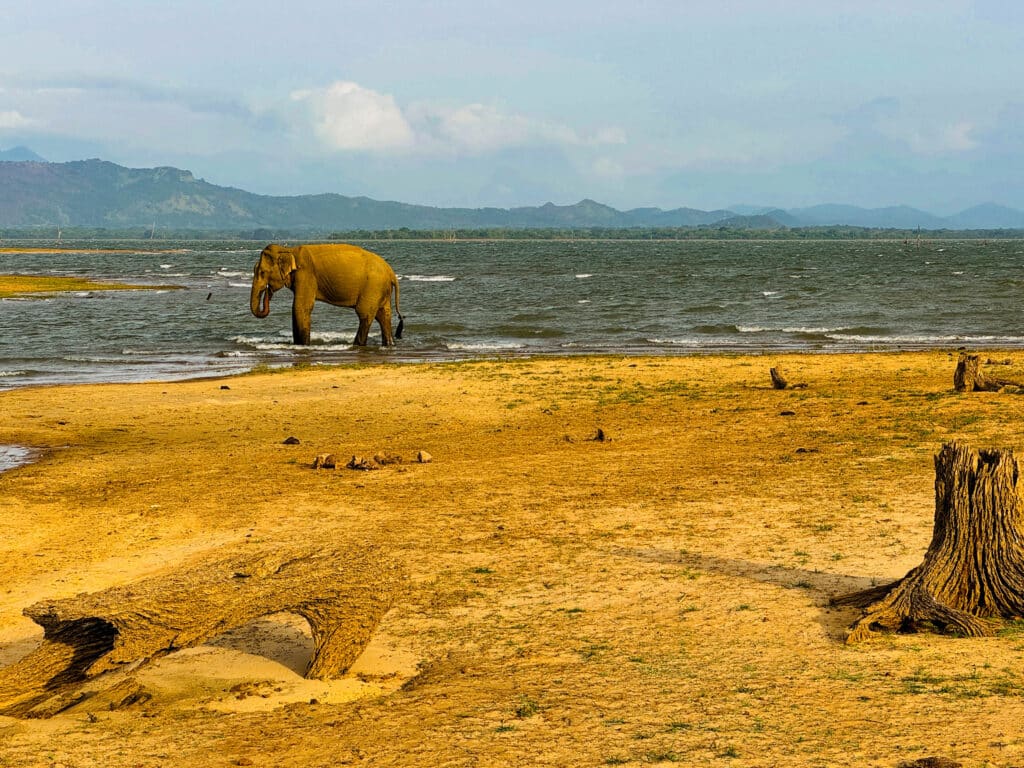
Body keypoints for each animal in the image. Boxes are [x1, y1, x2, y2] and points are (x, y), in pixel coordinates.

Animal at [250, 243, 404, 346]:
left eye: (262, 272)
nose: (268, 292)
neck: (289, 250)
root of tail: (391, 272)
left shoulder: (306, 274)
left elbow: (301, 307)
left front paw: (302, 346)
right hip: (381, 289)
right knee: (383, 315)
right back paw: (389, 344)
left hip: (373, 287)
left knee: (365, 314)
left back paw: (357, 345)